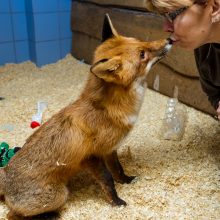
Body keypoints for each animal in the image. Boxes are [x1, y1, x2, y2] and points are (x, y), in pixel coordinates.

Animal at [0, 14, 172, 219]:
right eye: (142, 54)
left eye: (140, 41)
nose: (170, 39)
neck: (108, 109)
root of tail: (5, 174)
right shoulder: (90, 157)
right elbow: (108, 181)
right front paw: (117, 202)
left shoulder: (110, 150)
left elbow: (118, 170)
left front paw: (127, 180)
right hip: (59, 195)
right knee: (12, 215)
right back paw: (51, 215)